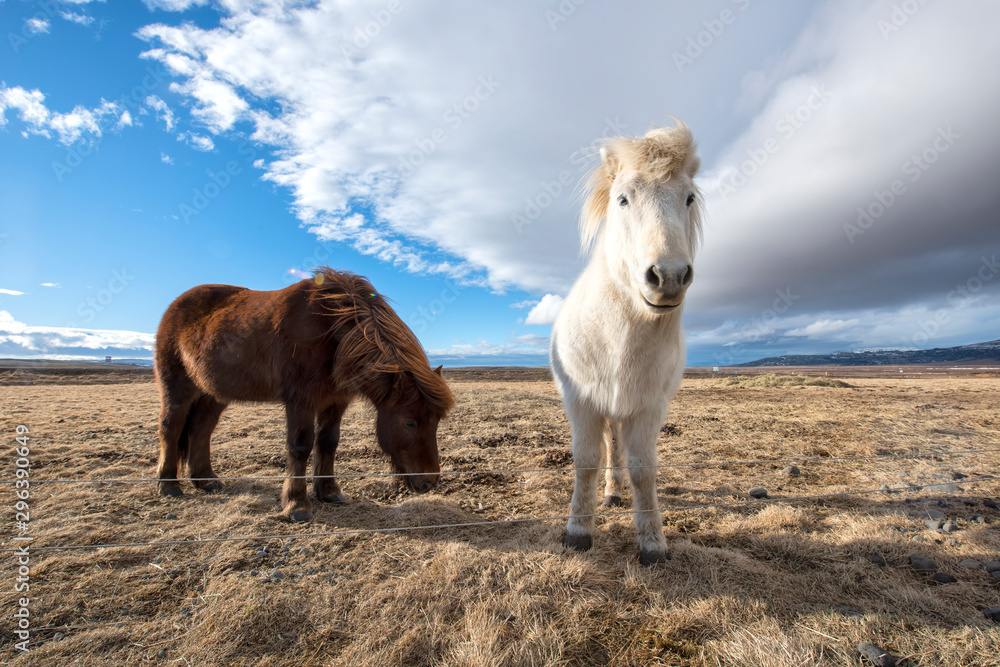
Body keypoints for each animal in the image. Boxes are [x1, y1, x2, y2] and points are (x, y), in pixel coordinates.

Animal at [154, 266, 456, 520]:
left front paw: (329, 492)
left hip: (212, 394)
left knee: (200, 429)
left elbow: (329, 443)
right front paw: (297, 504)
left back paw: (205, 479)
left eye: (436, 422)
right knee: (171, 427)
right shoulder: (300, 401)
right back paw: (169, 485)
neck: (330, 331)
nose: (429, 482)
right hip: (177, 387)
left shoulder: (335, 401)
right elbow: (300, 446)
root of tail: (175, 306)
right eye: (410, 422)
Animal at [548, 122, 704, 568]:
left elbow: (642, 469)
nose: (668, 276)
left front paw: (652, 543)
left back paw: (616, 493)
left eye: (688, 197)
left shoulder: (648, 408)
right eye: (622, 198)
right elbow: (586, 462)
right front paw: (578, 532)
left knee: (618, 449)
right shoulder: (582, 403)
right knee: (608, 448)